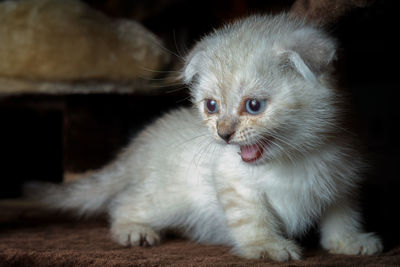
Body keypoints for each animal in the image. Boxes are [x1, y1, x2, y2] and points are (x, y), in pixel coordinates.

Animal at [28, 13, 384, 260]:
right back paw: (134, 231)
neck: (296, 158)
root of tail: (142, 143)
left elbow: (343, 216)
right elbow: (253, 219)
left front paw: (350, 242)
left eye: (253, 105)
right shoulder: (234, 183)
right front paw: (266, 246)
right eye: (211, 106)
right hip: (164, 198)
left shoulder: (344, 181)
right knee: (124, 204)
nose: (224, 134)